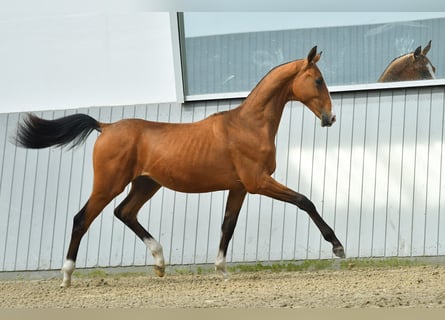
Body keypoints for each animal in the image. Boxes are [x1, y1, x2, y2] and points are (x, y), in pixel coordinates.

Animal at [13, 45, 344, 288]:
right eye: (318, 80)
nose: (330, 118)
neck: (248, 125)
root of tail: (105, 127)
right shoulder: (257, 182)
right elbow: (305, 201)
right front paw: (337, 246)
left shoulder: (239, 188)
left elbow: (228, 226)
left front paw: (221, 271)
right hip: (109, 184)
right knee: (82, 219)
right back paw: (67, 277)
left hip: (146, 183)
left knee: (125, 213)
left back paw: (160, 263)